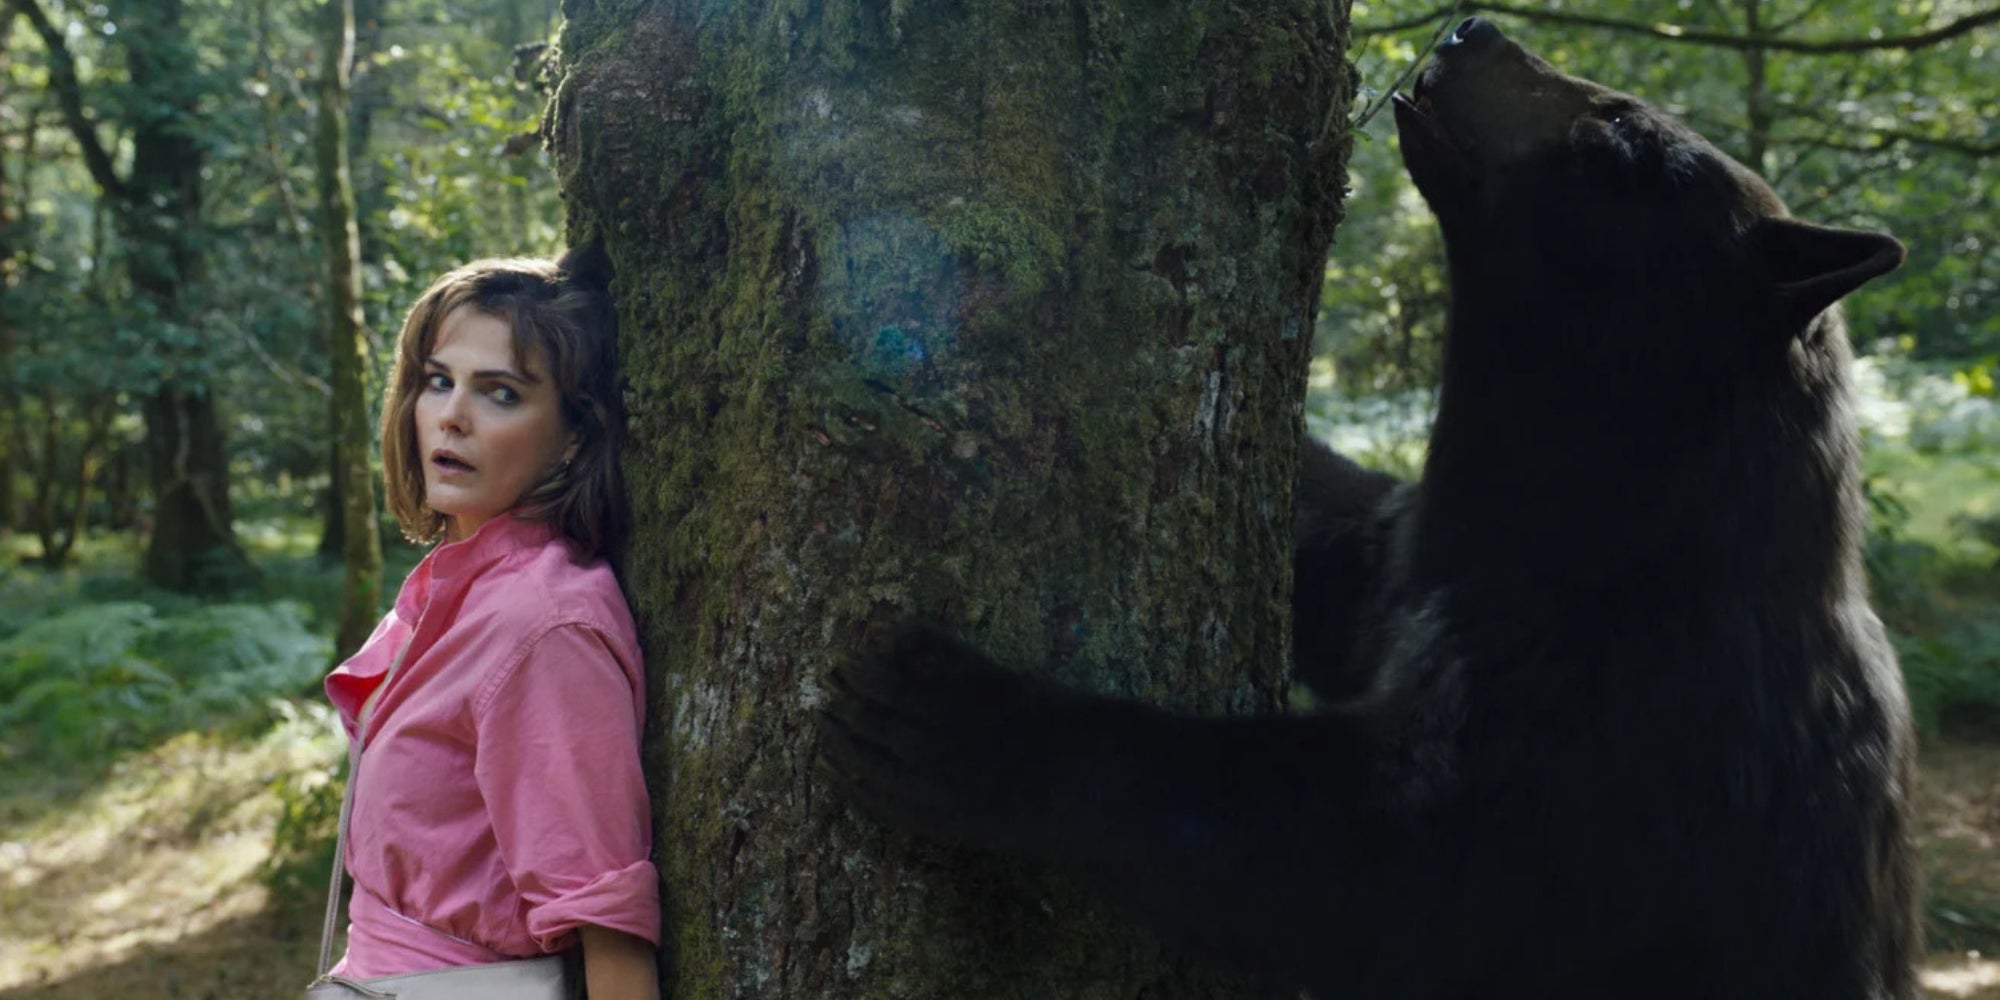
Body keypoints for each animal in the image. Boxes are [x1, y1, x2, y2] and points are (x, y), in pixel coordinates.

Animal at [819, 17, 1917, 1000]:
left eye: (1621, 138)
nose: (1473, 29)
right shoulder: (1420, 557)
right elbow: (1338, 550)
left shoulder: (1627, 740)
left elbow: (1372, 871)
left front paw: (963, 720)